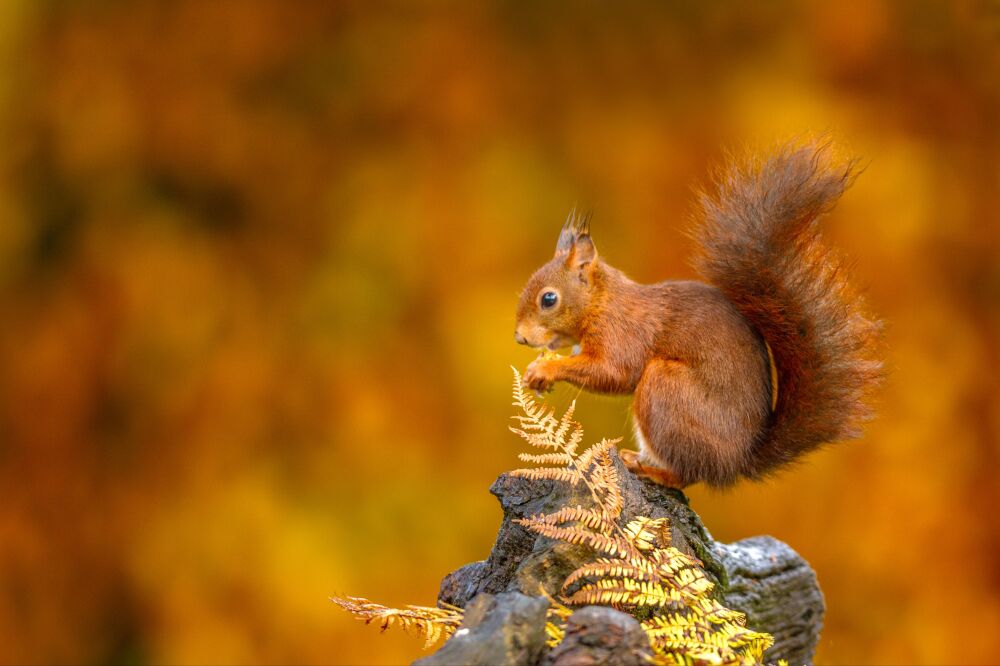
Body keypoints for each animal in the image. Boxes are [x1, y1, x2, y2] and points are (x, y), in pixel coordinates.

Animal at [516, 140, 884, 486]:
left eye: (548, 299)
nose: (519, 337)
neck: (602, 303)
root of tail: (736, 462)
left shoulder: (623, 333)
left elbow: (613, 372)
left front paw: (545, 369)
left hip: (666, 389)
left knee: (687, 474)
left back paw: (650, 469)